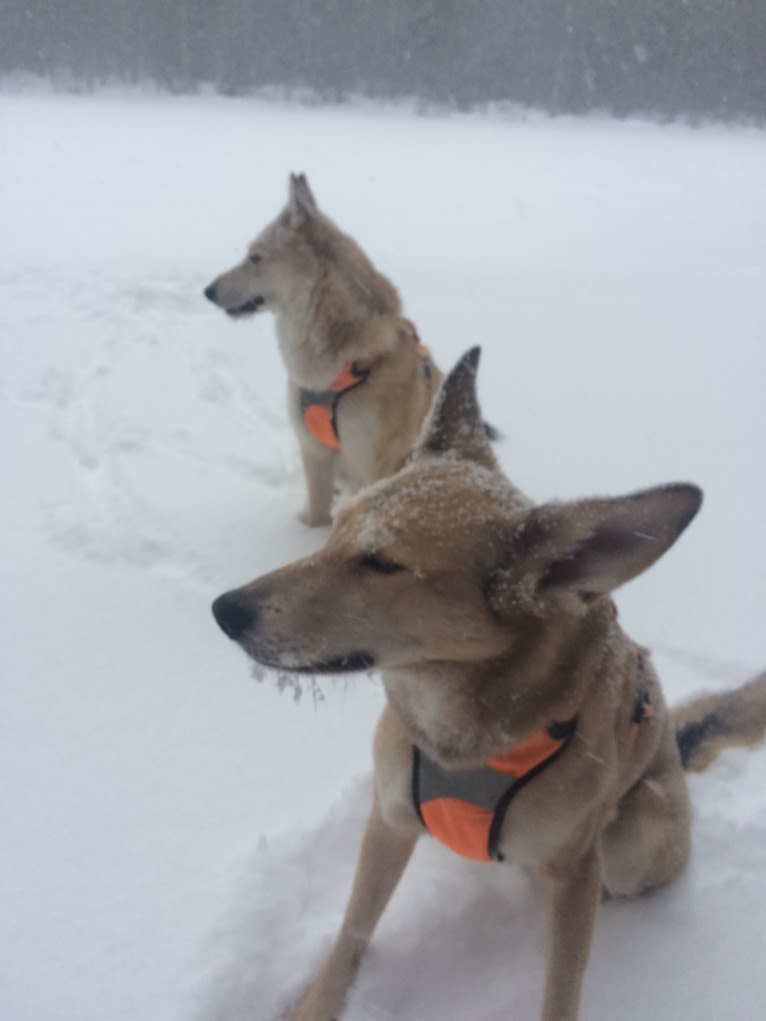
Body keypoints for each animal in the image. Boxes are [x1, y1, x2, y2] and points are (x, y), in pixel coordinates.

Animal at [210, 349, 766, 1021]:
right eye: (336, 526)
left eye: (381, 563)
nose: (224, 610)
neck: (461, 733)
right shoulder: (389, 820)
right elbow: (352, 930)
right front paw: (317, 1005)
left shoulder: (576, 868)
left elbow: (562, 990)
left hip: (636, 840)